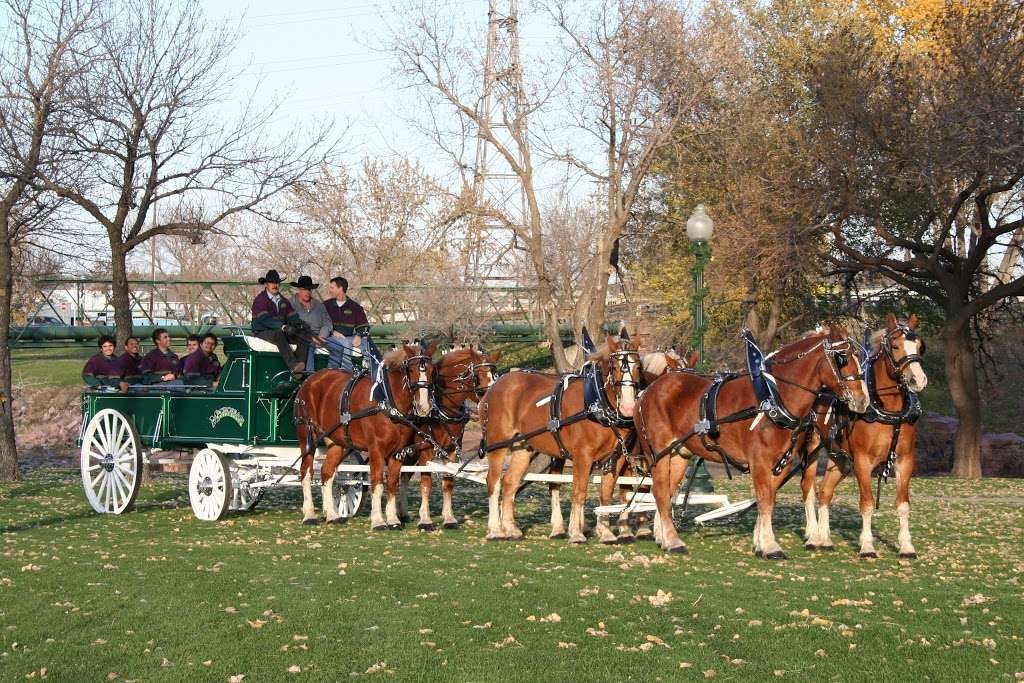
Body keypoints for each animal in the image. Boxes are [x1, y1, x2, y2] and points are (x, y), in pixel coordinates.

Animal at [292, 344, 436, 532]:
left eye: (433, 370)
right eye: (411, 370)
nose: (424, 407)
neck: (387, 401)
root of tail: (310, 380)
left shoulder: (398, 452)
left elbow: (392, 484)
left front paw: (393, 520)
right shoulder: (376, 449)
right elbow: (377, 482)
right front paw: (378, 521)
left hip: (336, 443)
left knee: (327, 473)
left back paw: (331, 515)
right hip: (308, 437)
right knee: (306, 472)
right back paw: (309, 514)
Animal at [395, 344, 499, 532]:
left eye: (496, 376)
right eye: (478, 377)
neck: (442, 408)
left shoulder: (451, 449)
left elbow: (448, 482)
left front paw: (449, 518)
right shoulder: (427, 450)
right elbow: (426, 483)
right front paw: (426, 520)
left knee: (404, 476)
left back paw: (403, 513)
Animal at [479, 335, 638, 544]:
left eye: (638, 367)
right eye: (615, 367)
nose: (629, 407)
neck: (596, 403)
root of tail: (494, 387)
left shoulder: (615, 458)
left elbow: (606, 493)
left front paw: (605, 532)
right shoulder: (582, 456)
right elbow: (579, 492)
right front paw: (576, 533)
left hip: (523, 448)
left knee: (510, 483)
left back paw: (511, 529)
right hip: (497, 444)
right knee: (494, 482)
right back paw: (496, 529)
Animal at [634, 327, 868, 557]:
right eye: (842, 358)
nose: (862, 400)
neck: (774, 397)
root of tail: (647, 391)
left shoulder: (781, 463)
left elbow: (769, 499)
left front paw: (760, 542)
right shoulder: (760, 462)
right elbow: (764, 499)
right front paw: (770, 545)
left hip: (678, 455)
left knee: (666, 493)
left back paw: (665, 538)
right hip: (660, 454)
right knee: (660, 493)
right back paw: (673, 541)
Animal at [802, 315, 933, 561]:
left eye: (920, 346)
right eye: (895, 346)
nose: (918, 380)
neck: (888, 408)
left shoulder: (905, 460)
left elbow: (903, 504)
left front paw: (906, 547)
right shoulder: (863, 462)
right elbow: (867, 503)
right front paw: (867, 546)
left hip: (840, 458)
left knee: (825, 492)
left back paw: (825, 539)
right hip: (811, 447)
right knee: (808, 489)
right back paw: (813, 536)